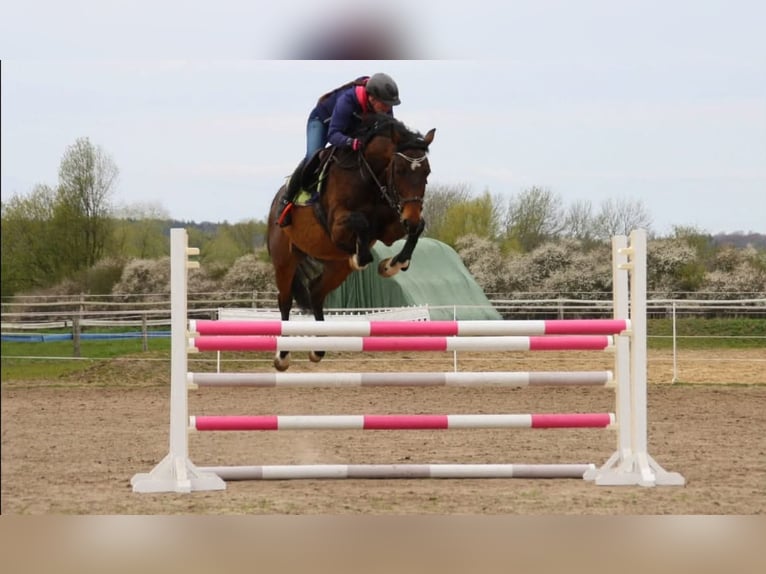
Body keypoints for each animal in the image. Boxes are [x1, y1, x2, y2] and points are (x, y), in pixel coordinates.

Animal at [267, 113, 436, 371]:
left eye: (427, 172)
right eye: (398, 170)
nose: (411, 216)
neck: (369, 177)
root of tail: (274, 203)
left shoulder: (390, 227)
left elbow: (416, 229)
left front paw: (391, 265)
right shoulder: (337, 226)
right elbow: (361, 223)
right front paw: (361, 256)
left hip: (336, 268)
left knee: (316, 292)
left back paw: (318, 350)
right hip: (284, 260)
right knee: (284, 300)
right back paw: (283, 356)